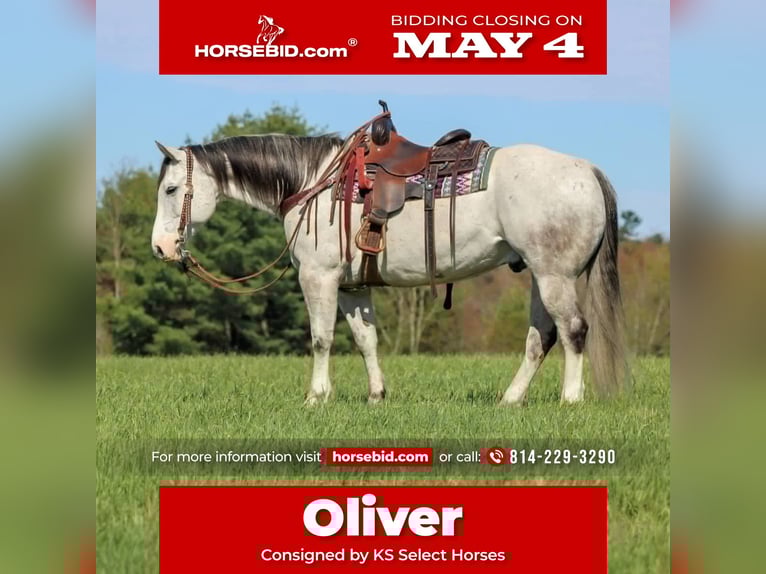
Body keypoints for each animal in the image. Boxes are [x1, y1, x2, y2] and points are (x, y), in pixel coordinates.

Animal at [151, 120, 626, 406]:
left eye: (171, 189)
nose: (160, 247)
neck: (313, 182)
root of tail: (587, 170)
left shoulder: (318, 279)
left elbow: (321, 339)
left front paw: (316, 397)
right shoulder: (352, 286)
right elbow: (366, 341)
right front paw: (376, 395)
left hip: (554, 276)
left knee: (573, 331)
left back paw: (570, 398)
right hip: (539, 276)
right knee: (540, 337)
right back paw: (510, 399)